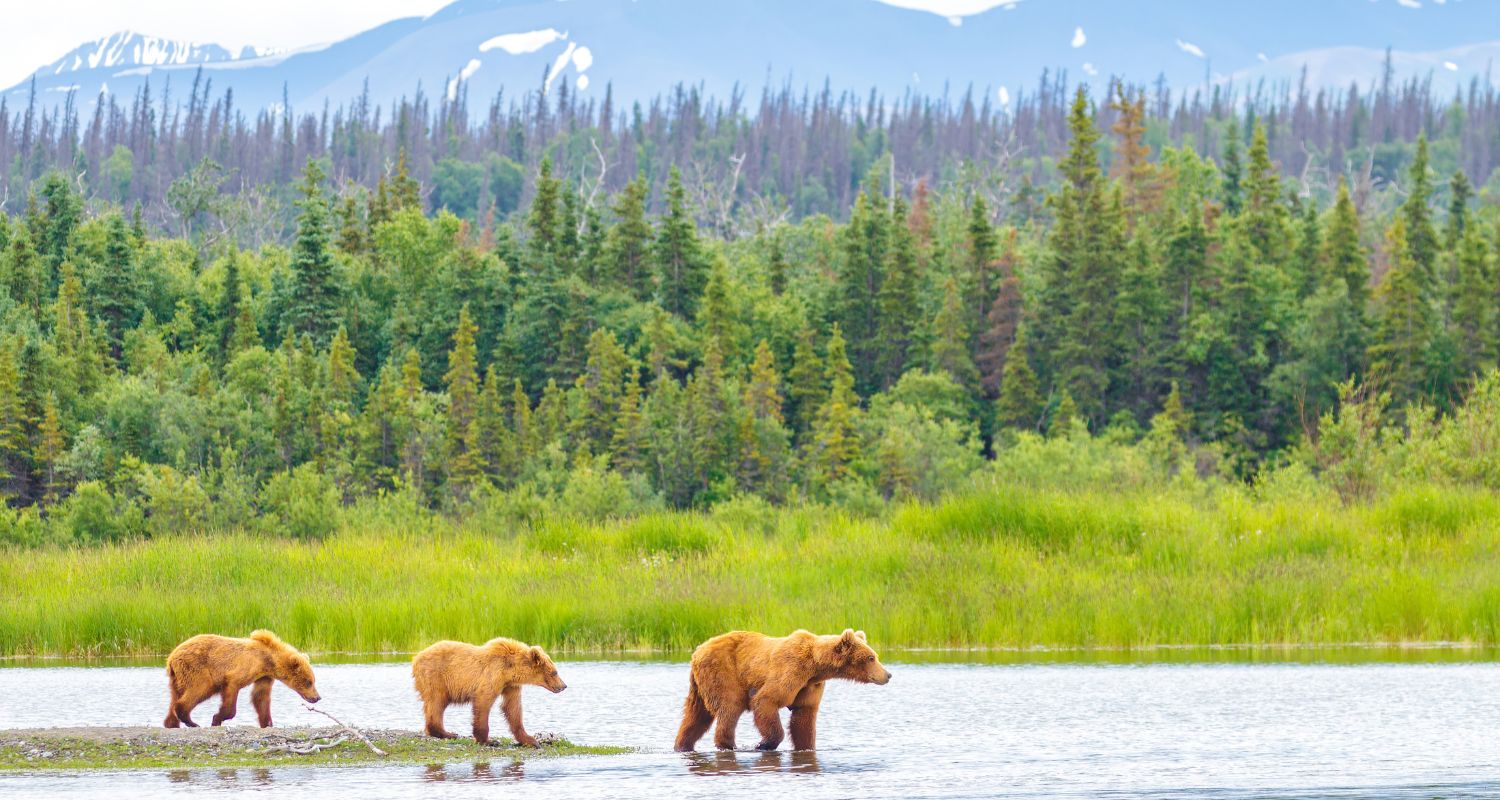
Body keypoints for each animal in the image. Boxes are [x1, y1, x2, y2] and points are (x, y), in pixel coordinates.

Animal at [161, 630, 319, 729]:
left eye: (313, 681)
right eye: (308, 682)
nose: (317, 697)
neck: (268, 661)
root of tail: (171, 657)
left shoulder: (264, 676)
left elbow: (261, 697)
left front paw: (267, 723)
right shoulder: (244, 668)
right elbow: (233, 688)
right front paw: (216, 719)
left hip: (177, 677)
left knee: (175, 695)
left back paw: (171, 723)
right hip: (197, 668)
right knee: (200, 688)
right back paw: (191, 721)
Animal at [411, 633, 567, 744]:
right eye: (554, 672)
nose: (564, 686)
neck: (510, 669)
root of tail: (416, 658)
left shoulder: (510, 685)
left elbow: (512, 708)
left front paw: (530, 740)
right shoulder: (493, 674)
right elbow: (484, 701)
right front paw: (488, 740)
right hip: (436, 676)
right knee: (436, 702)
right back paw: (447, 733)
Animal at [678, 627, 888, 750]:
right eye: (871, 657)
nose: (887, 675)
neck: (815, 666)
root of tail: (697, 651)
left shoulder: (809, 686)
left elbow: (803, 718)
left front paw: (806, 746)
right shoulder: (791, 670)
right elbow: (766, 700)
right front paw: (763, 744)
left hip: (700, 684)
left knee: (696, 716)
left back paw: (682, 744)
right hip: (723, 672)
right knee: (729, 707)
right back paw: (728, 745)